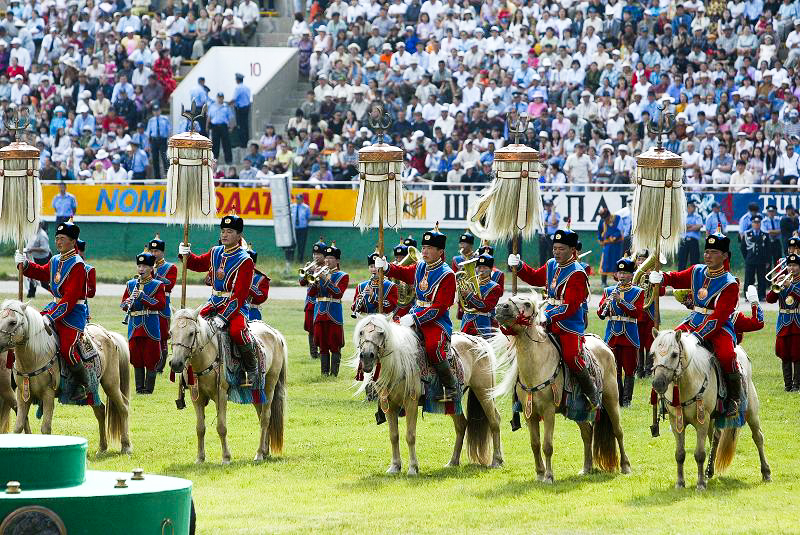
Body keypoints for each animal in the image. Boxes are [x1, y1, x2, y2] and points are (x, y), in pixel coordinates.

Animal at [0, 302, 131, 452]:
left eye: (13, 322)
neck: (36, 355)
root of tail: (108, 334)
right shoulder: (23, 394)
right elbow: (18, 426)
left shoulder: (48, 394)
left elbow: (45, 428)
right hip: (92, 389)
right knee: (100, 411)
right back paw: (102, 448)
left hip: (111, 383)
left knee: (123, 408)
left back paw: (126, 446)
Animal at [170, 310, 290, 464]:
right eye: (171, 332)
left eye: (191, 333)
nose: (176, 363)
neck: (207, 356)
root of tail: (275, 333)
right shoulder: (196, 396)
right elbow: (200, 428)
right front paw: (200, 458)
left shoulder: (221, 394)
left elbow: (221, 427)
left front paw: (226, 457)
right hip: (257, 391)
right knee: (260, 415)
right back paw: (265, 451)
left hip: (269, 385)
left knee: (265, 418)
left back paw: (259, 454)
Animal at [348, 314, 500, 478]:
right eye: (361, 332)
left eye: (381, 333)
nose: (366, 356)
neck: (397, 364)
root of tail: (479, 341)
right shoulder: (388, 405)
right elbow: (393, 435)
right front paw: (395, 467)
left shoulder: (411, 403)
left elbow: (410, 435)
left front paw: (413, 468)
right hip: (453, 401)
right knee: (461, 425)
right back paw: (453, 461)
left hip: (484, 391)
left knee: (494, 420)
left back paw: (497, 461)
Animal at [488, 296, 632, 484]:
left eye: (527, 303)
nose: (501, 307)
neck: (536, 364)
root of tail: (604, 345)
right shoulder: (529, 413)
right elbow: (535, 444)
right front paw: (540, 473)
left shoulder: (548, 411)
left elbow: (547, 445)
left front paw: (549, 476)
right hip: (577, 409)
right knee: (587, 432)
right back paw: (587, 468)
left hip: (611, 399)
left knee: (618, 431)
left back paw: (625, 466)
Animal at [652, 330, 772, 490]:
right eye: (653, 354)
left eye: (674, 354)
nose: (658, 383)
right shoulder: (676, 421)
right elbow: (680, 453)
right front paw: (680, 483)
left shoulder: (702, 421)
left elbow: (699, 453)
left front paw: (700, 484)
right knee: (715, 438)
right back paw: (709, 470)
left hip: (750, 410)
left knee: (758, 437)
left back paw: (766, 472)